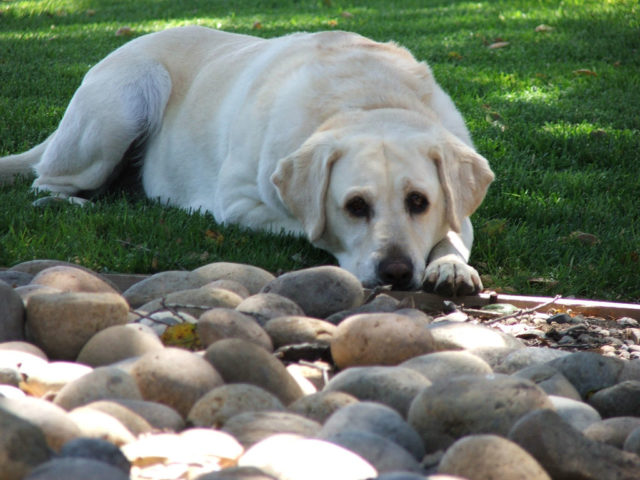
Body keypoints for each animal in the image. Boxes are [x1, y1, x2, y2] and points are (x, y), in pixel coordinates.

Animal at [0, 28, 496, 294]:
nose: (396, 272)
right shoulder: (240, 205)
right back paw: (72, 202)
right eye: (355, 207)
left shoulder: (457, 201)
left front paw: (450, 266)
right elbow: (305, 225)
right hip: (122, 102)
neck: (368, 100)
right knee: (48, 181)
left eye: (419, 202)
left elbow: (453, 232)